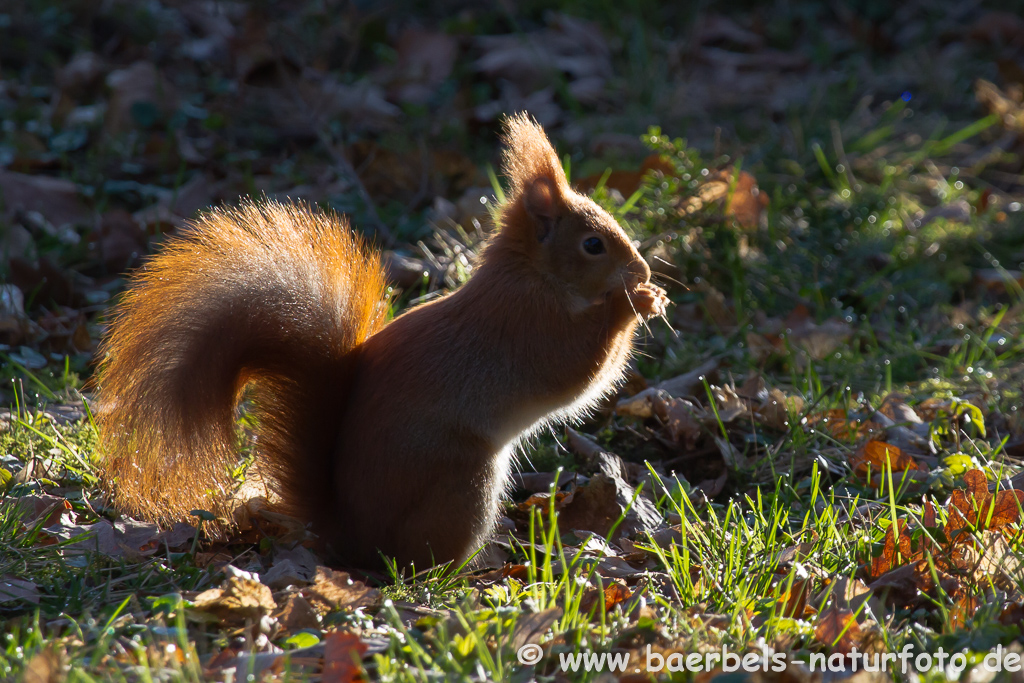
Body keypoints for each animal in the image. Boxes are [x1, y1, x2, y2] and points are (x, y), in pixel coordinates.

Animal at [96, 114, 667, 569]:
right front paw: (634, 302)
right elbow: (581, 371)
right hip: (465, 482)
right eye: (593, 245)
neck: (530, 275)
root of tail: (350, 538)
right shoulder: (530, 329)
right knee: (417, 563)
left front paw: (648, 292)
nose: (640, 269)